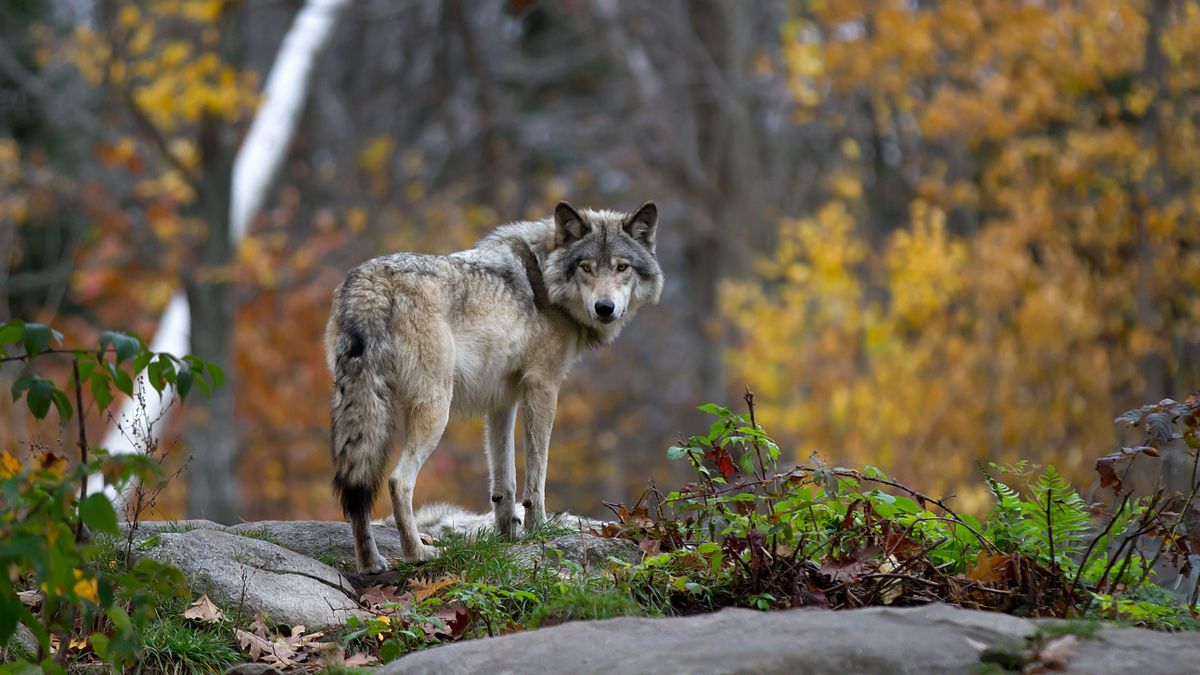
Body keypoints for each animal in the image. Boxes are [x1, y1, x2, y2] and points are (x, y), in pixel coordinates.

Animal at [328, 201, 662, 569]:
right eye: (586, 268)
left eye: (621, 267)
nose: (605, 308)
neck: (544, 278)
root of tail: (371, 282)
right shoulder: (543, 388)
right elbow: (536, 475)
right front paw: (537, 530)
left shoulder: (502, 401)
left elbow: (505, 481)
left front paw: (508, 536)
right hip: (435, 410)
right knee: (398, 481)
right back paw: (418, 553)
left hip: (361, 407)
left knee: (357, 488)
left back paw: (370, 563)